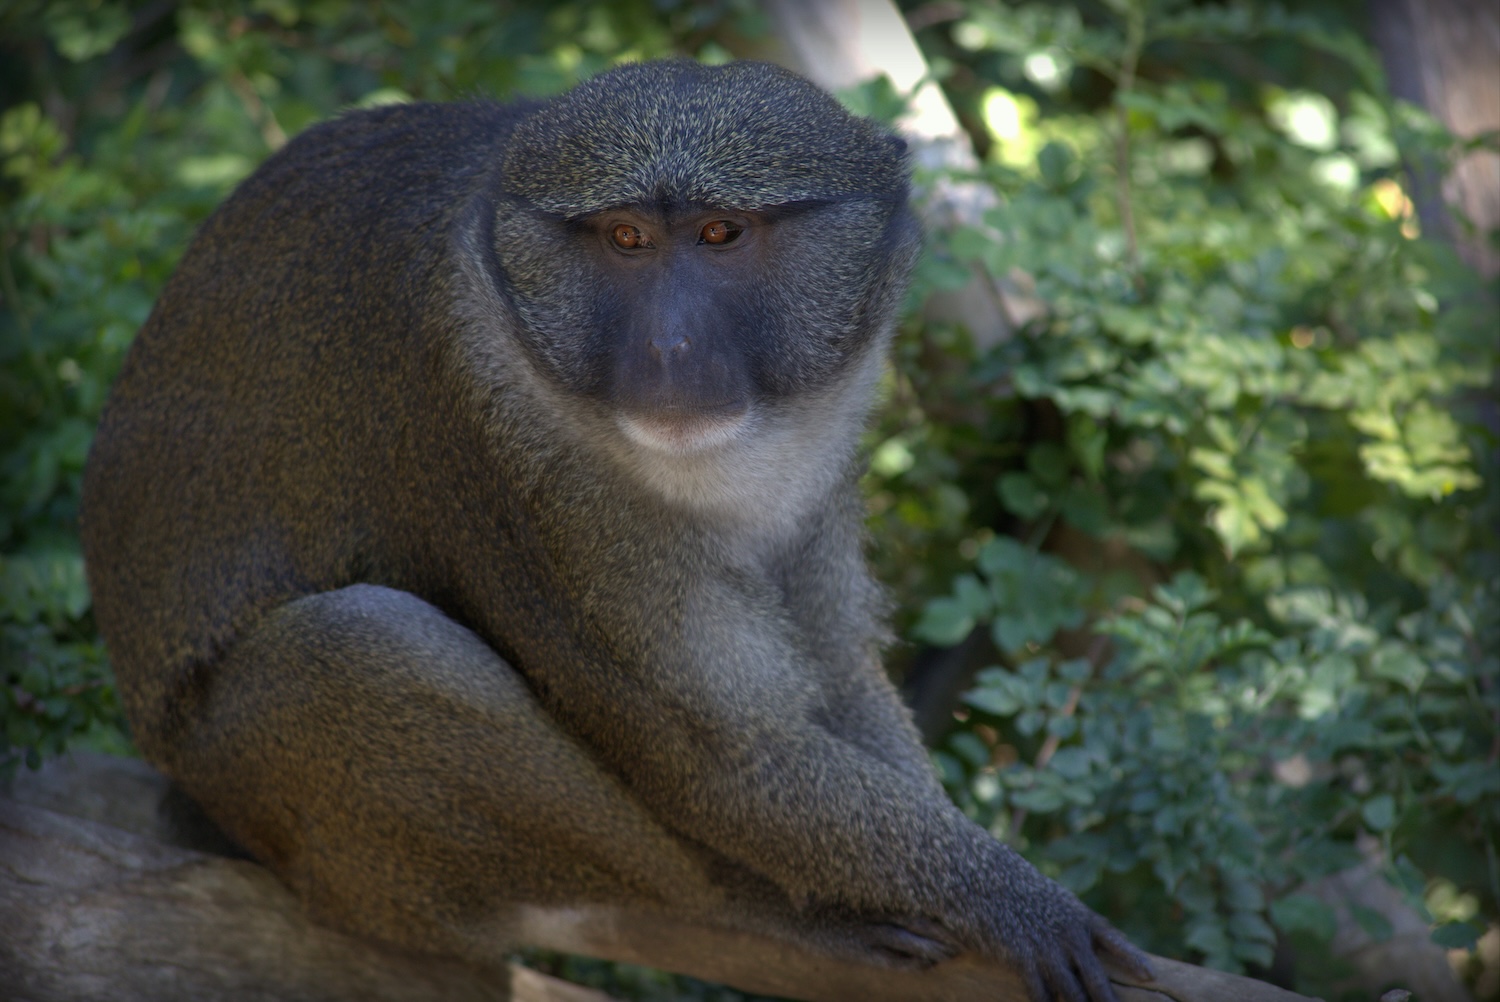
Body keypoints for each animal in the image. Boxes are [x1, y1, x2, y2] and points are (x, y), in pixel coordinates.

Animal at [82, 60, 1152, 1002]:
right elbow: (722, 755)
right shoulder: (498, 445)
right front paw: (1014, 901)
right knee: (360, 647)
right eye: (626, 239)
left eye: (721, 233)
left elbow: (837, 670)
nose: (670, 347)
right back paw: (771, 915)